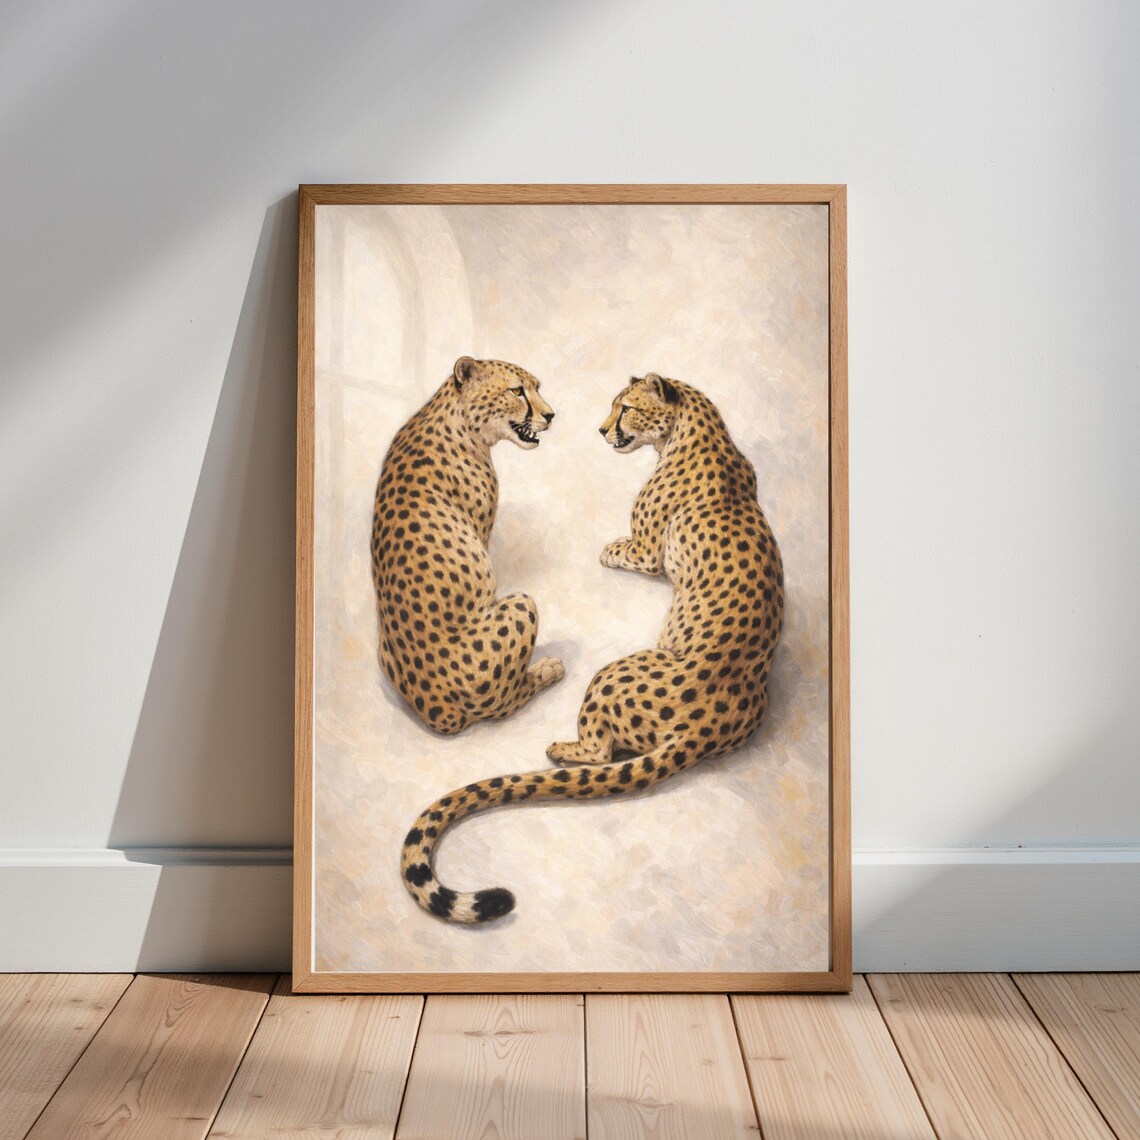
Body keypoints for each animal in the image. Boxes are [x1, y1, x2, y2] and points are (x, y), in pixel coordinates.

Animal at [371, 355, 565, 736]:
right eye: (517, 391)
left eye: (537, 387)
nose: (550, 415)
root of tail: (436, 711)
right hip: (522, 606)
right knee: (503, 703)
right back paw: (547, 670)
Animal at [400, 372, 784, 923]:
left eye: (625, 408)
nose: (602, 430)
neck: (700, 433)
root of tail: (705, 728)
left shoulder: (648, 553)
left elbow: (623, 550)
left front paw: (606, 549)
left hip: (609, 673)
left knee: (600, 751)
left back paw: (560, 747)